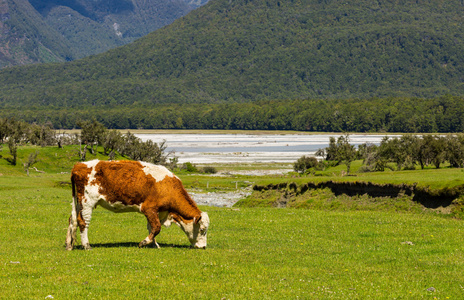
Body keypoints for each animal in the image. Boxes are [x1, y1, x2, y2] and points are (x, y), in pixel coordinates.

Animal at [65, 159, 210, 251]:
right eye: (202, 230)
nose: (203, 247)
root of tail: (79, 165)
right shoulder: (149, 208)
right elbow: (156, 227)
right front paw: (143, 243)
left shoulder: (157, 211)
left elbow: (151, 227)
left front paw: (154, 245)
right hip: (87, 202)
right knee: (83, 222)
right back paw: (87, 246)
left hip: (78, 203)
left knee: (72, 220)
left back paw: (69, 245)